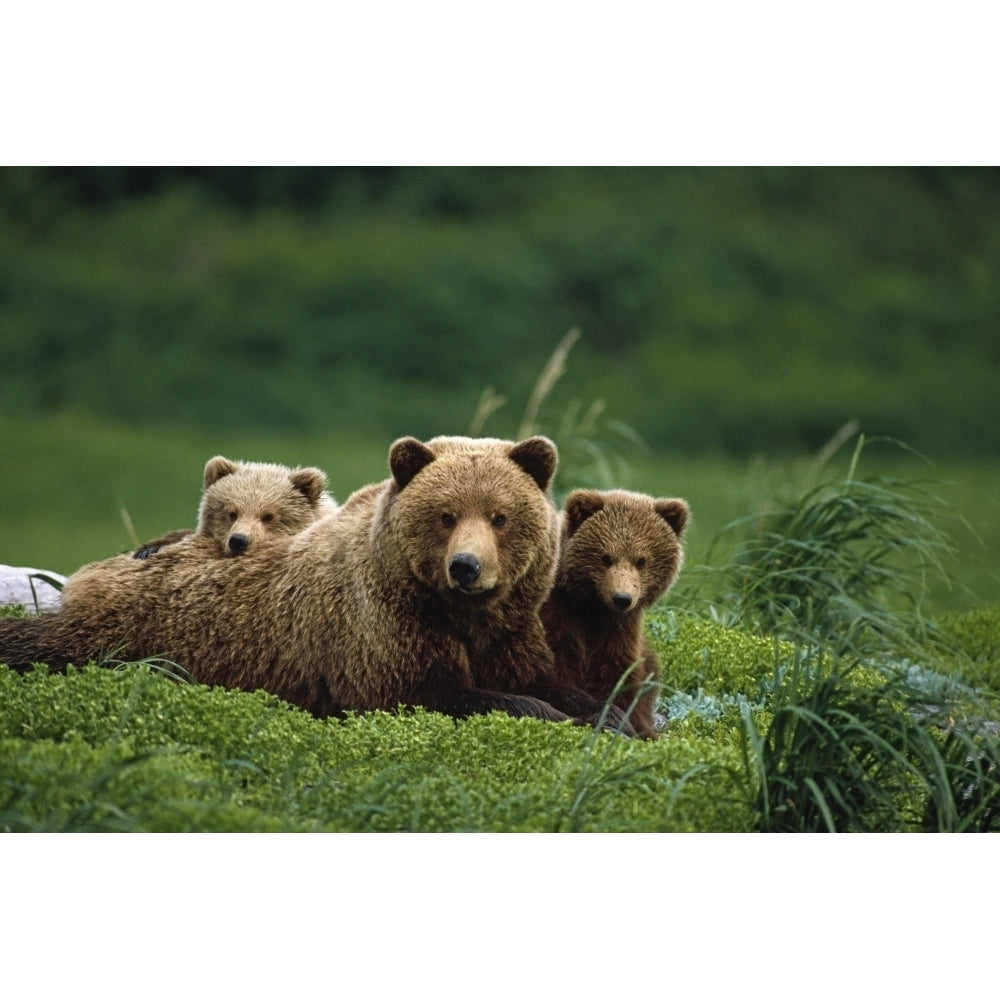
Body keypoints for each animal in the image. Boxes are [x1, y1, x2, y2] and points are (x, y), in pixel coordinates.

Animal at [540, 488, 688, 740]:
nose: (622, 598)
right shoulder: (559, 614)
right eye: (605, 557)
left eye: (641, 560)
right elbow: (560, 664)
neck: (592, 608)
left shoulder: (620, 628)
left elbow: (616, 672)